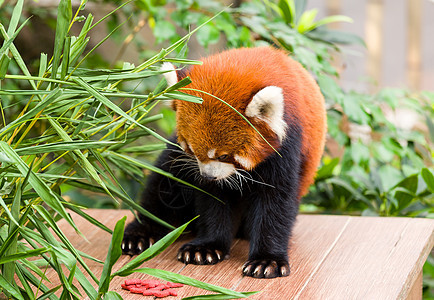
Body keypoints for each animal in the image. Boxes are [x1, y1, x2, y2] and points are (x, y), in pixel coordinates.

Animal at [122, 47, 326, 278]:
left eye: (223, 156)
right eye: (192, 150)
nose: (207, 176)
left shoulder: (288, 148)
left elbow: (275, 203)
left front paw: (267, 260)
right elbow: (213, 199)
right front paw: (207, 247)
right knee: (163, 185)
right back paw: (139, 234)